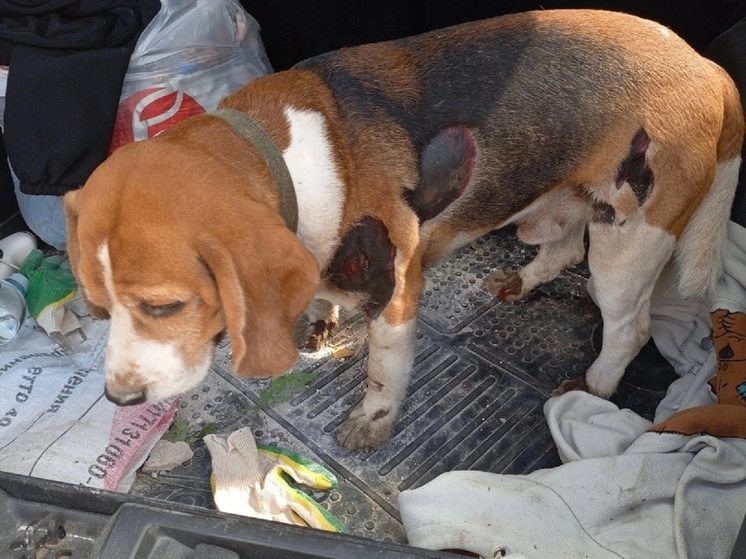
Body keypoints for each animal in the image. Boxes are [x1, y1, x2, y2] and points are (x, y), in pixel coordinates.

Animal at [62, 9, 740, 450]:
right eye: (97, 309)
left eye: (166, 306)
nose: (119, 402)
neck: (287, 157)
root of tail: (707, 66)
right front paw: (319, 319)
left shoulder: (394, 294)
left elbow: (383, 371)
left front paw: (374, 421)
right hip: (571, 202)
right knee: (566, 248)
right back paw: (523, 283)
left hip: (632, 241)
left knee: (629, 328)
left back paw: (592, 387)